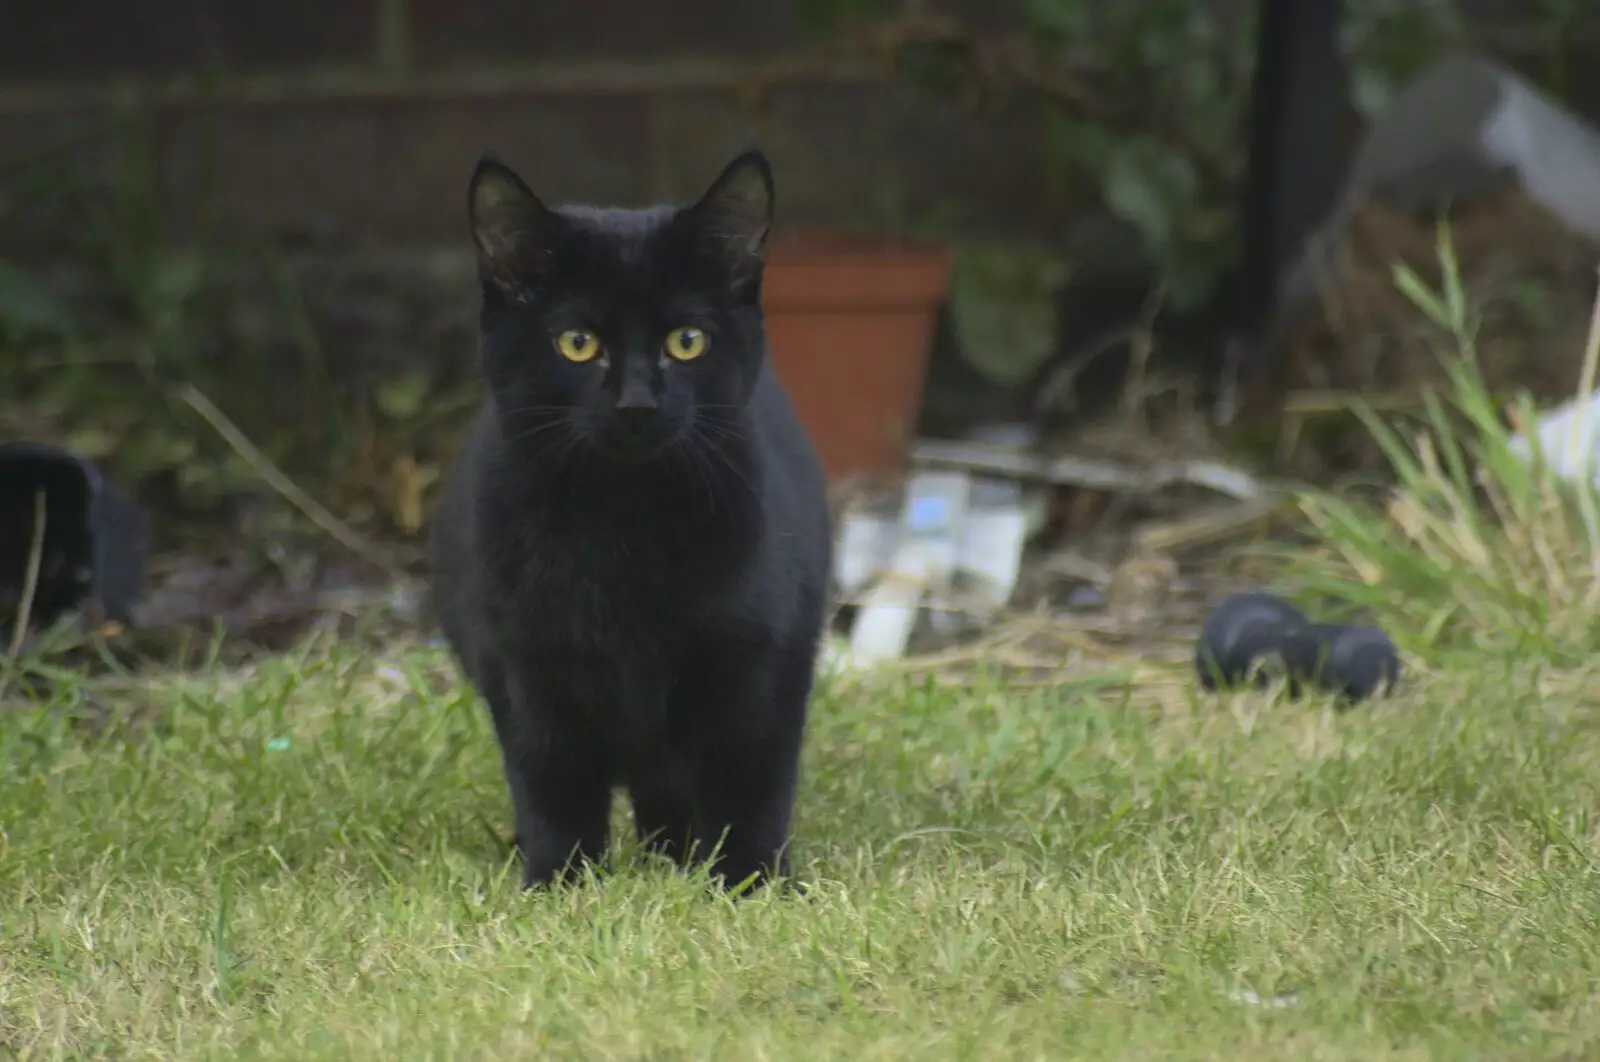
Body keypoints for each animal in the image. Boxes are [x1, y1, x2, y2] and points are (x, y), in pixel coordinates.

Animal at [432, 149, 832, 889]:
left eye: (688, 340)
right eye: (577, 342)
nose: (637, 404)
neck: (623, 527)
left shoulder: (758, 659)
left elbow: (752, 779)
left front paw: (751, 882)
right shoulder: (529, 669)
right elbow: (551, 785)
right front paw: (558, 884)